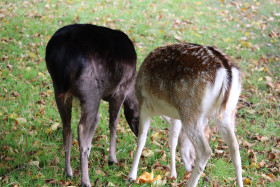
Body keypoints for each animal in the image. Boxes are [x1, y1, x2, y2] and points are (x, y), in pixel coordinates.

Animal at [45, 24, 140, 186]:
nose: (140, 133)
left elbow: (97, 119)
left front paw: (90, 151)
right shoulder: (119, 91)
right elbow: (113, 121)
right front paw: (112, 159)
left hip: (58, 89)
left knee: (67, 127)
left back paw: (68, 172)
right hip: (91, 91)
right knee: (81, 128)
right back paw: (85, 180)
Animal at [127, 43, 243, 186]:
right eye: (209, 135)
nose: (191, 164)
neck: (161, 111)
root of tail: (227, 71)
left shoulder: (144, 103)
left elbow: (141, 138)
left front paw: (131, 176)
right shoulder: (176, 115)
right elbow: (172, 140)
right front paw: (173, 174)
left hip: (190, 111)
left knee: (205, 151)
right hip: (228, 113)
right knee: (235, 148)